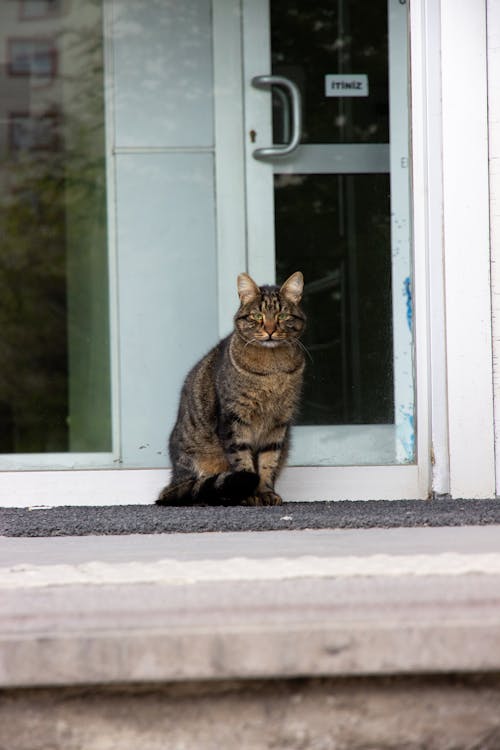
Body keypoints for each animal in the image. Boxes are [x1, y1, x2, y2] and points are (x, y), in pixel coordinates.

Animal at [156, 268, 304, 506]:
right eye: (257, 316)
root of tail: (174, 478)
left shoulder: (279, 423)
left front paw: (266, 492)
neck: (273, 368)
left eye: (282, 316)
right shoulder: (234, 419)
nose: (270, 330)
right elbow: (243, 461)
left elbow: (268, 462)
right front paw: (251, 494)